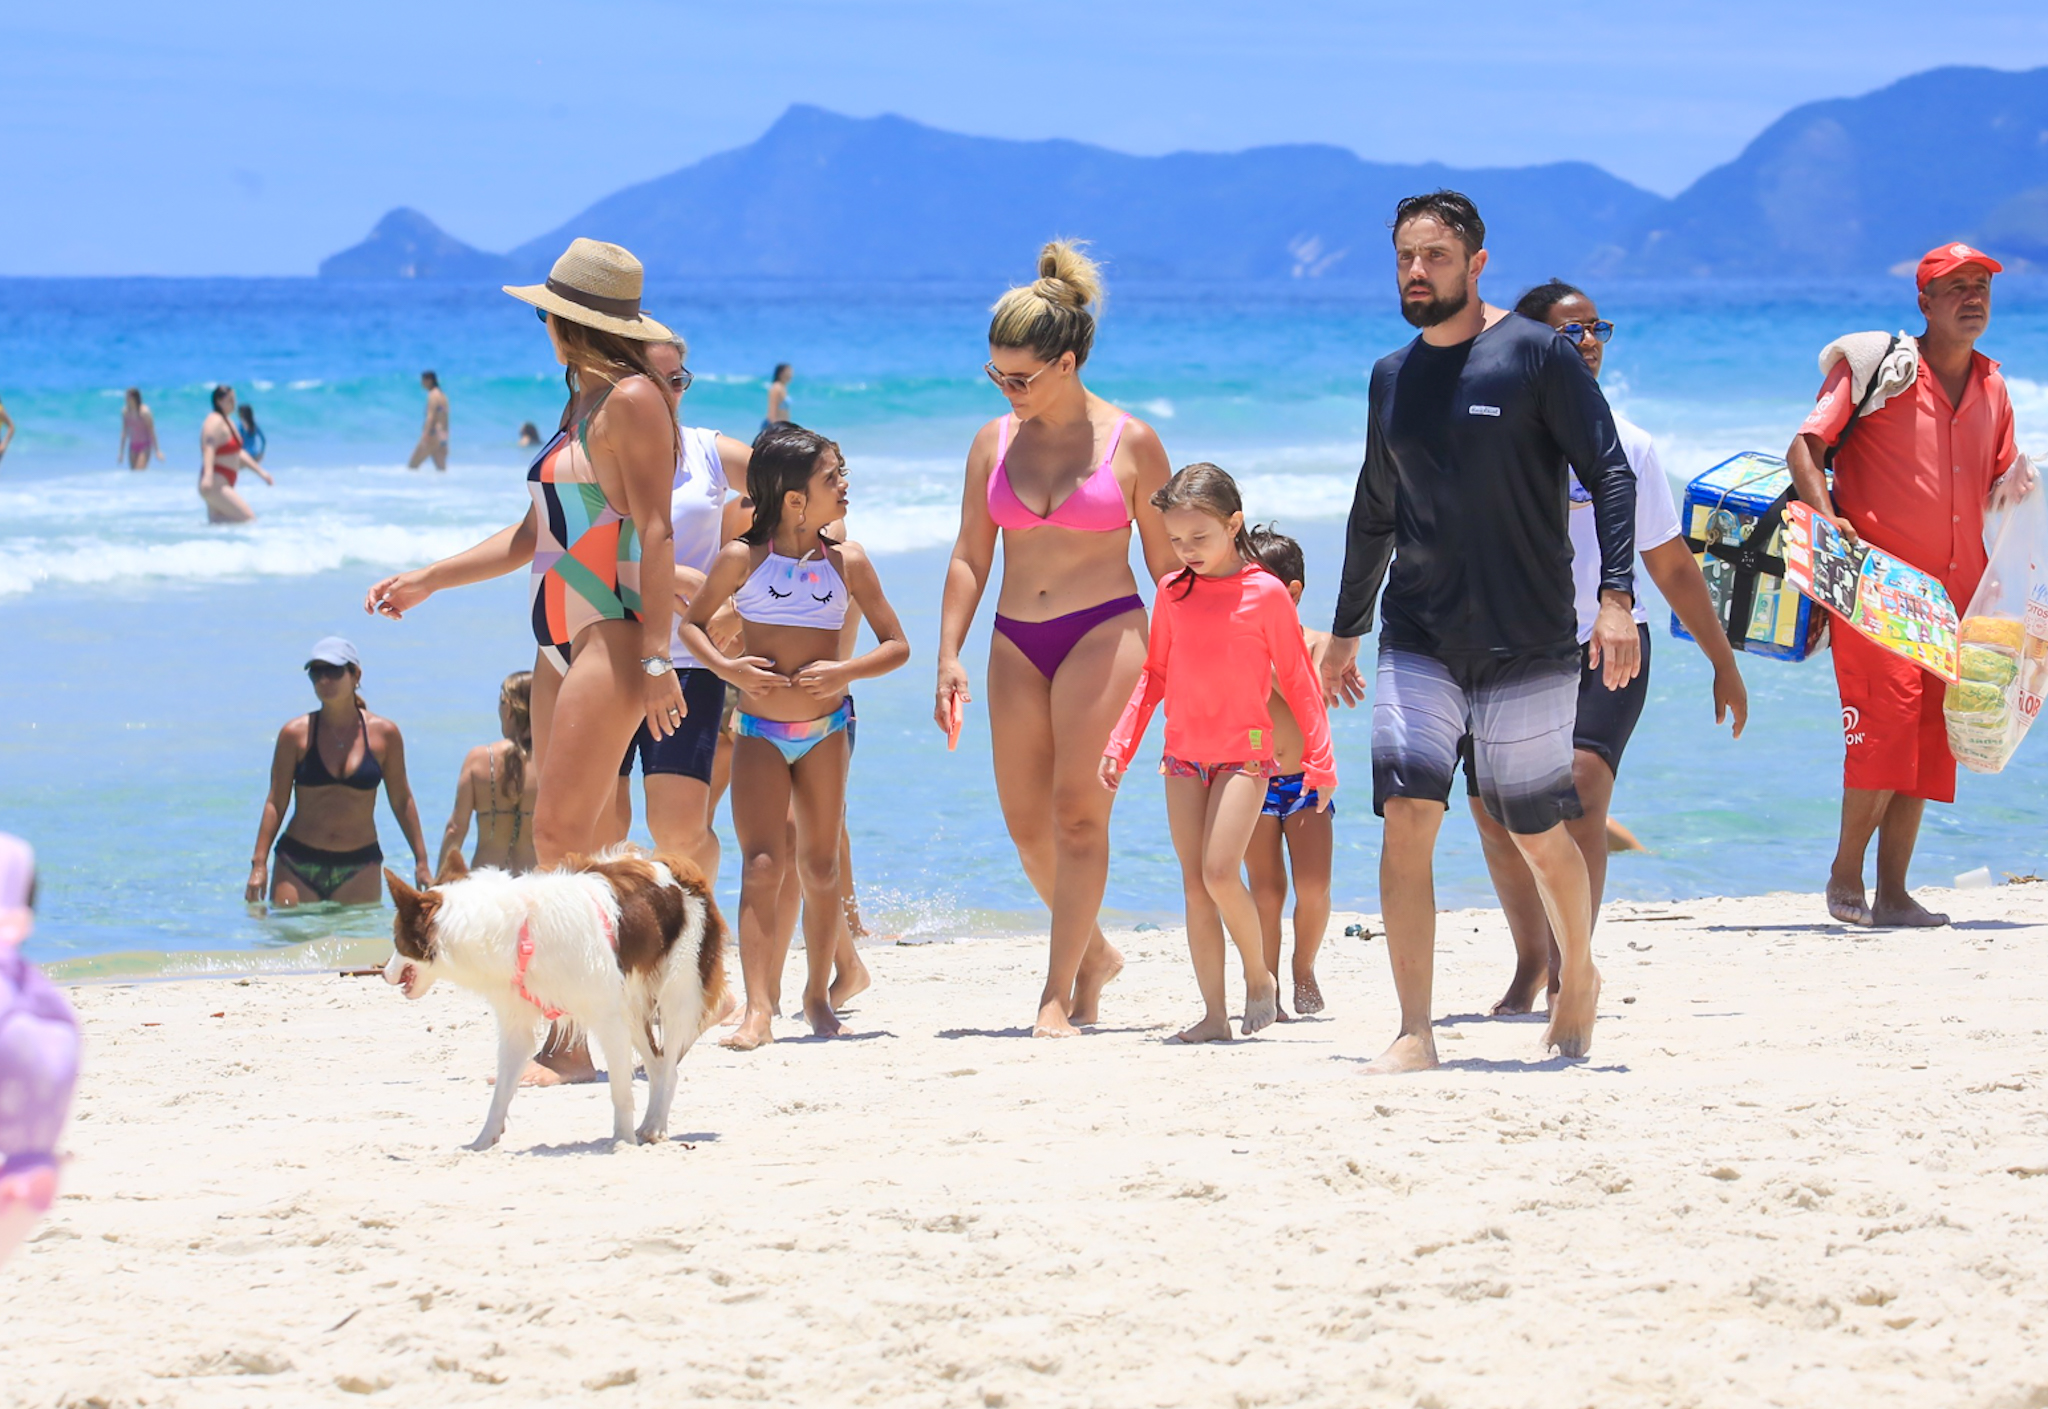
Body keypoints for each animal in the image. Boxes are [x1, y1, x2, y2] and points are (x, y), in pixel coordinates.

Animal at [385, 847, 729, 1146]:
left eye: (397, 940)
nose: (385, 974)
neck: (516, 934)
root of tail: (680, 870)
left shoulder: (608, 1018)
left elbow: (620, 1091)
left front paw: (622, 1142)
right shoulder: (517, 1025)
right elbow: (502, 1091)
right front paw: (483, 1142)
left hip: (677, 993)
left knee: (669, 1065)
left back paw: (656, 1126)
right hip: (632, 1006)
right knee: (657, 1065)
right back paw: (649, 1124)